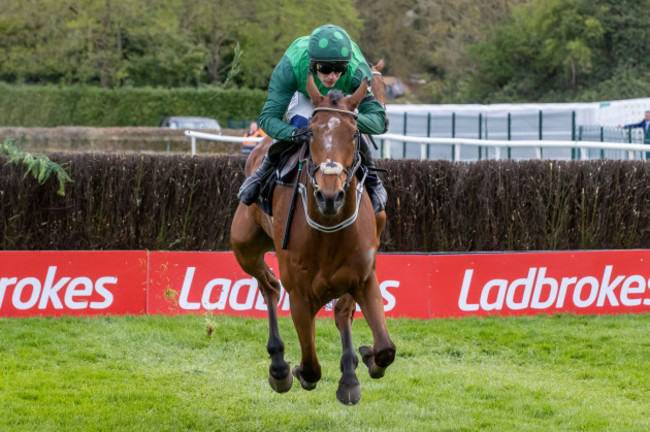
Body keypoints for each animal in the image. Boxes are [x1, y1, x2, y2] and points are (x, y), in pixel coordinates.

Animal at [232, 73, 394, 404]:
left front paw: (366, 359)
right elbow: (309, 367)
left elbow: (385, 348)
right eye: (311, 135)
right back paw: (279, 365)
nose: (330, 196)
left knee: (341, 312)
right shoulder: (300, 294)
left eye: (354, 134)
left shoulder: (364, 277)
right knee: (270, 285)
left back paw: (349, 374)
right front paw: (291, 372)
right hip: (243, 246)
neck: (328, 228)